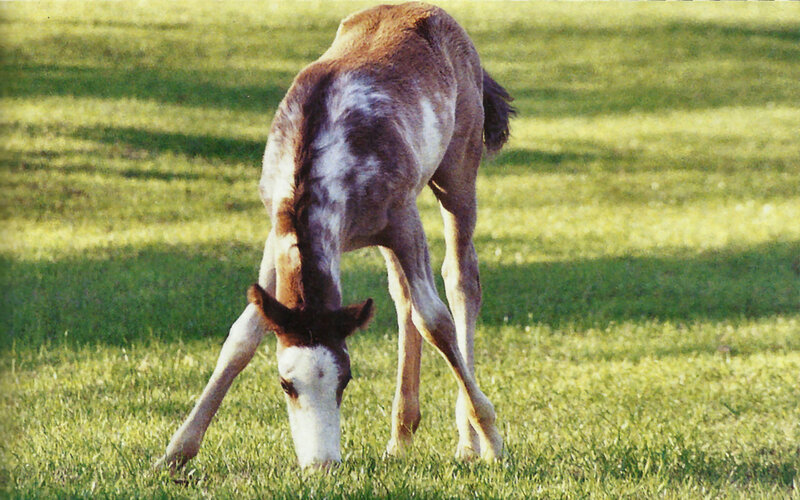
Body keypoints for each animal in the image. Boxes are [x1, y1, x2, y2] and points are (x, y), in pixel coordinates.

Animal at [157, 1, 514, 470]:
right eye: (286, 383)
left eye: (346, 380)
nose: (322, 464)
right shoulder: (276, 232)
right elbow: (243, 334)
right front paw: (175, 454)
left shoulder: (402, 219)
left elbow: (436, 320)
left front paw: (492, 441)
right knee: (401, 297)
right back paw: (400, 437)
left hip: (457, 171)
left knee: (459, 281)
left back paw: (467, 440)